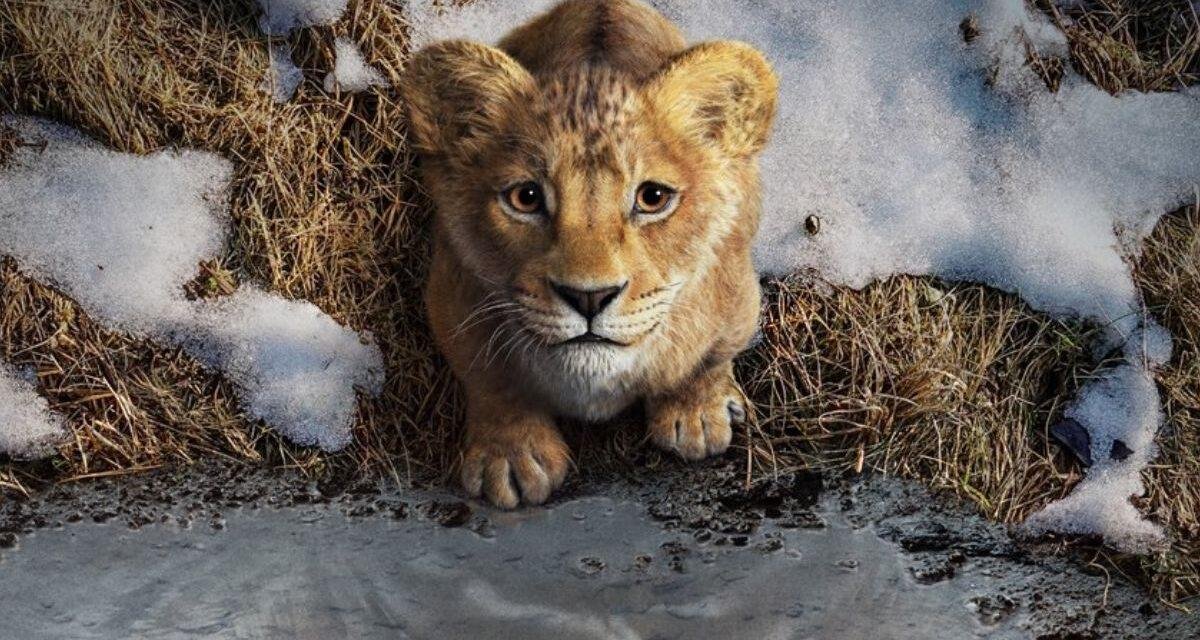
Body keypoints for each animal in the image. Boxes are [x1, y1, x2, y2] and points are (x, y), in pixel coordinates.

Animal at [401, 0, 778, 508]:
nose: (589, 297)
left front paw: (696, 414)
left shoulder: (737, 295)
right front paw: (512, 456)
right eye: (525, 197)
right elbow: (490, 379)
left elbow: (708, 357)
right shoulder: (451, 295)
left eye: (653, 197)